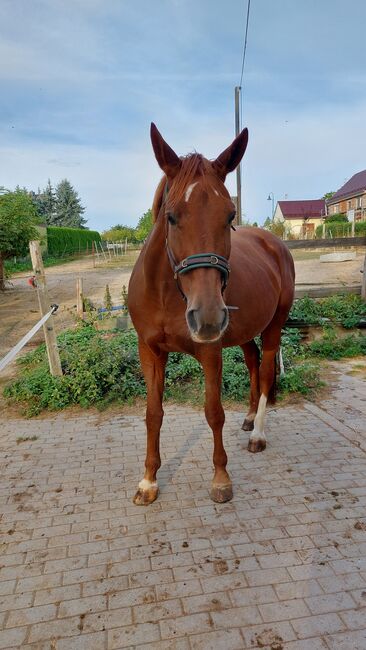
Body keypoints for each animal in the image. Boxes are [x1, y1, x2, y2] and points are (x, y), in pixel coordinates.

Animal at [129, 123, 294, 506]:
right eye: (171, 216)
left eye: (229, 216)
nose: (207, 317)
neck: (167, 294)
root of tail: (275, 244)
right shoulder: (150, 351)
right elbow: (153, 414)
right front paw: (148, 481)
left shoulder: (210, 351)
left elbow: (213, 413)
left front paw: (221, 479)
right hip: (245, 331)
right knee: (251, 363)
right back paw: (248, 418)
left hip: (273, 326)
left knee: (265, 372)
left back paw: (257, 434)